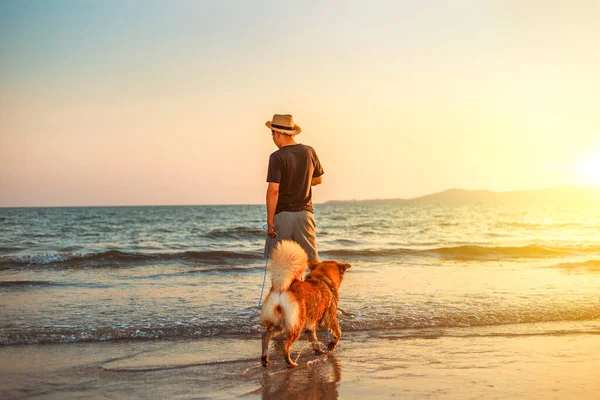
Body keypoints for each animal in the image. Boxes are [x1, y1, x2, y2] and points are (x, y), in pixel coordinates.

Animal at [258, 239, 352, 368]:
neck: (323, 278)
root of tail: (282, 288)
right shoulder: (330, 317)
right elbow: (338, 332)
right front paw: (331, 345)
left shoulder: (310, 326)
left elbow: (314, 341)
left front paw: (320, 352)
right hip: (296, 324)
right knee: (285, 347)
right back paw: (291, 363)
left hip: (281, 324)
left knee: (265, 336)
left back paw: (265, 359)